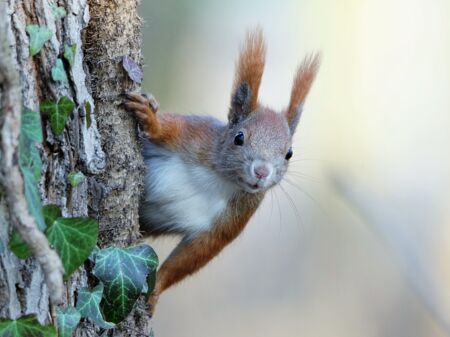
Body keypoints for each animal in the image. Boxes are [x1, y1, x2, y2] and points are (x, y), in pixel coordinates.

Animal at [123, 29, 320, 316]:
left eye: (289, 154)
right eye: (239, 138)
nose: (262, 172)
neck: (219, 178)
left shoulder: (234, 217)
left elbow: (194, 255)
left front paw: (156, 289)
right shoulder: (195, 135)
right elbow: (168, 128)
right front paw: (152, 119)